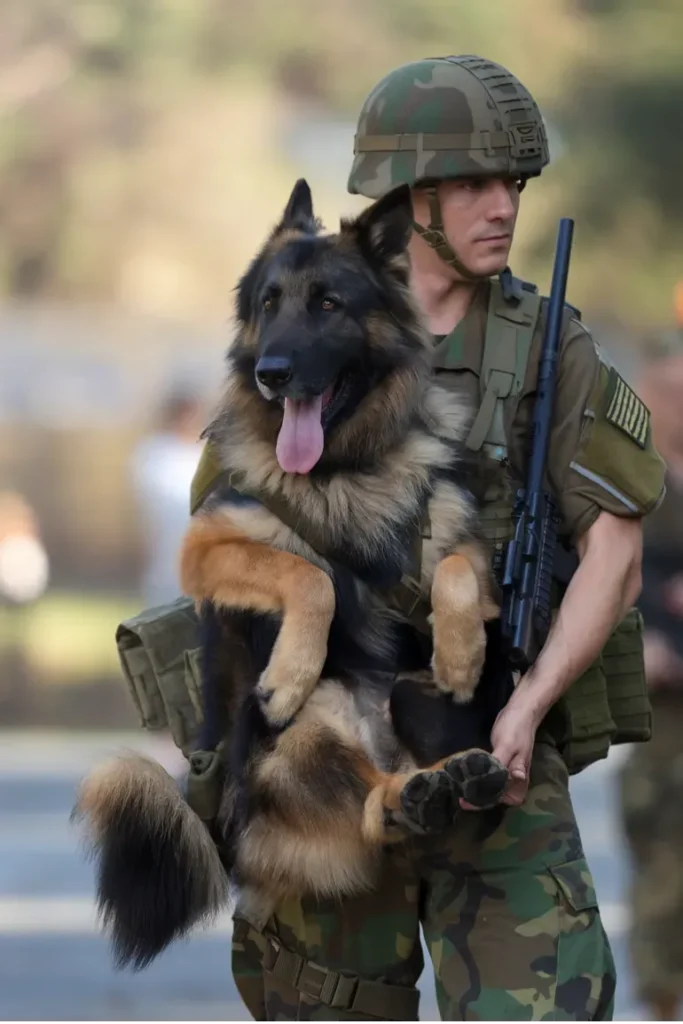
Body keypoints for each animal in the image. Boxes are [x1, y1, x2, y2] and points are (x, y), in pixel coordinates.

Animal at [73, 180, 511, 970]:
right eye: (268, 303)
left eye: (329, 304)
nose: (270, 374)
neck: (341, 470)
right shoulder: (208, 549)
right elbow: (308, 575)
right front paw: (288, 670)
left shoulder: (465, 547)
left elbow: (459, 567)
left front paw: (461, 654)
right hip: (305, 737)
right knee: (370, 808)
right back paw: (409, 795)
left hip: (410, 700)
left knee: (422, 772)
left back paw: (457, 773)